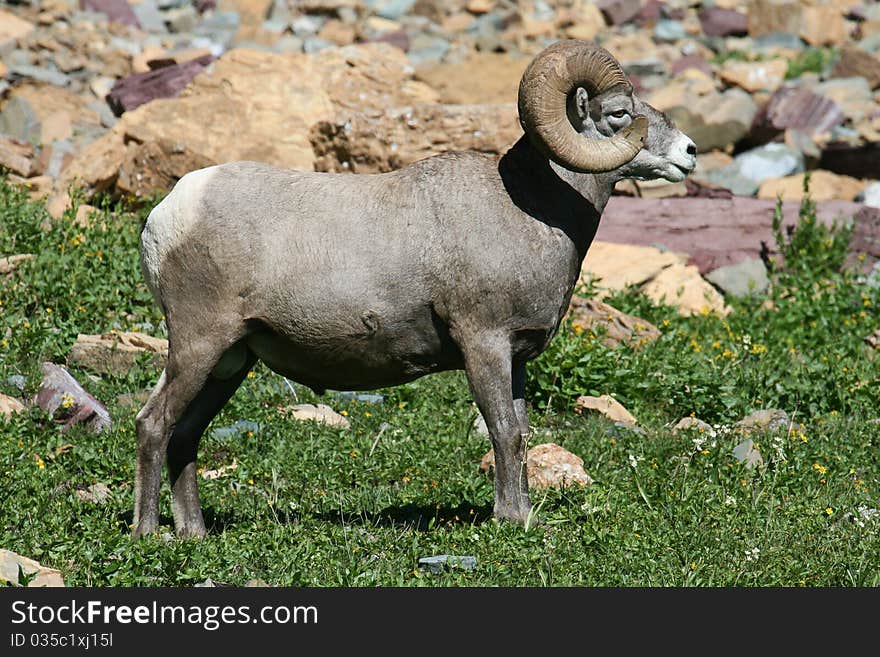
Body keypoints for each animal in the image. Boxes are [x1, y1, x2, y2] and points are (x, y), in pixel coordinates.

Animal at [132, 39, 696, 540]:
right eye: (619, 113)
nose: (689, 153)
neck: (531, 211)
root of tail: (168, 214)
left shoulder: (514, 358)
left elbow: (520, 433)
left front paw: (526, 517)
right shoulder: (484, 345)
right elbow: (505, 433)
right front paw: (511, 521)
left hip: (231, 361)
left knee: (185, 434)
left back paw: (194, 533)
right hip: (200, 344)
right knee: (153, 423)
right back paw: (150, 534)